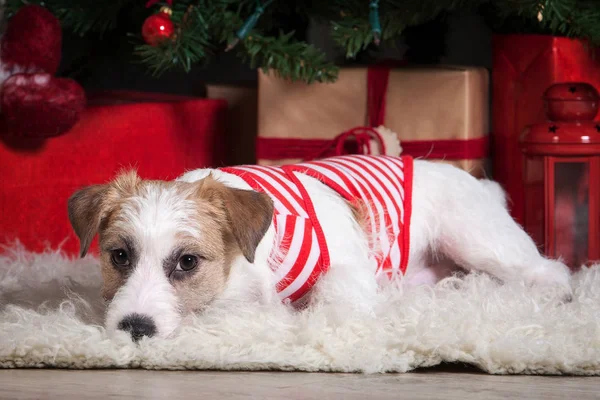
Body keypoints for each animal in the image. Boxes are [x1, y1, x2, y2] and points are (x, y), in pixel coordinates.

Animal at [68, 155, 568, 342]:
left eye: (187, 262)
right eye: (119, 256)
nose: (134, 327)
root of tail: (480, 183)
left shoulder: (348, 266)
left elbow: (335, 292)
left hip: (477, 240)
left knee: (548, 271)